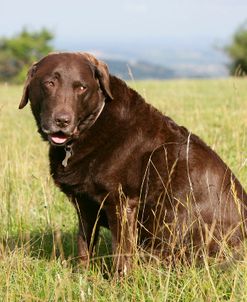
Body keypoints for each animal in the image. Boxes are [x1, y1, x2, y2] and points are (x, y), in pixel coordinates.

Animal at [19, 52, 247, 274]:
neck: (93, 123)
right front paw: (82, 276)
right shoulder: (85, 205)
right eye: (49, 83)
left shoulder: (121, 203)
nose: (62, 121)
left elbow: (121, 253)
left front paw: (118, 281)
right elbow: (84, 244)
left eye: (82, 87)